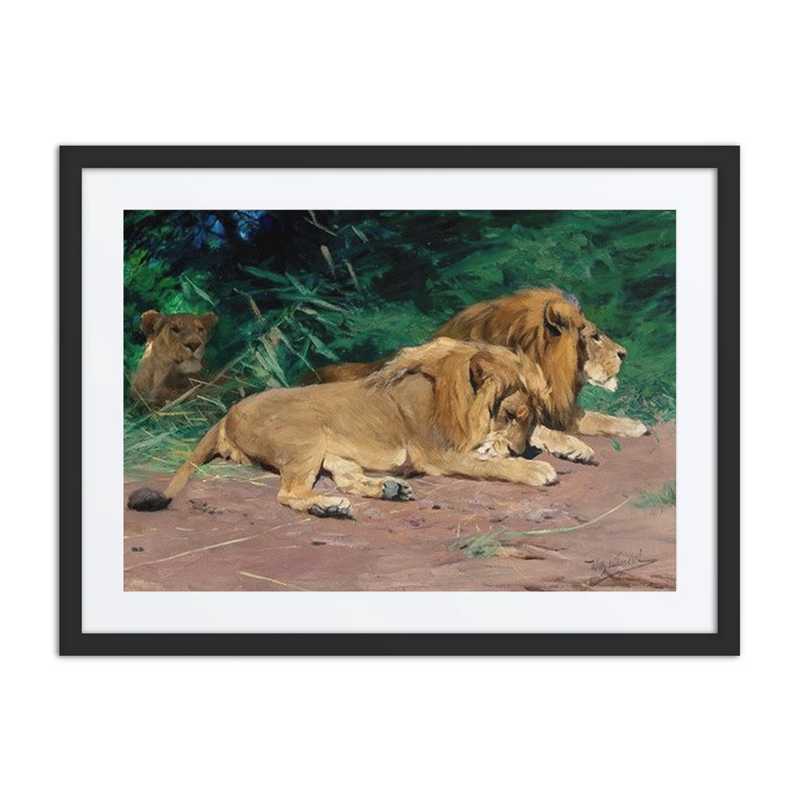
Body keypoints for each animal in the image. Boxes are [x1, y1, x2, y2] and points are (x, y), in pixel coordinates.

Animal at [127, 338, 557, 519]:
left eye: (532, 418)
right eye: (509, 415)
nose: (519, 450)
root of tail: (226, 413)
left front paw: (549, 448)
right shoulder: (439, 454)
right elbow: (492, 464)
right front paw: (535, 468)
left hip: (326, 451)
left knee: (347, 479)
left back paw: (387, 489)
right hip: (305, 437)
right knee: (288, 493)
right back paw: (329, 507)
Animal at [311, 288, 647, 464]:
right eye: (594, 336)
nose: (625, 353)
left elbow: (597, 417)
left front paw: (635, 425)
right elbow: (536, 428)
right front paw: (576, 447)